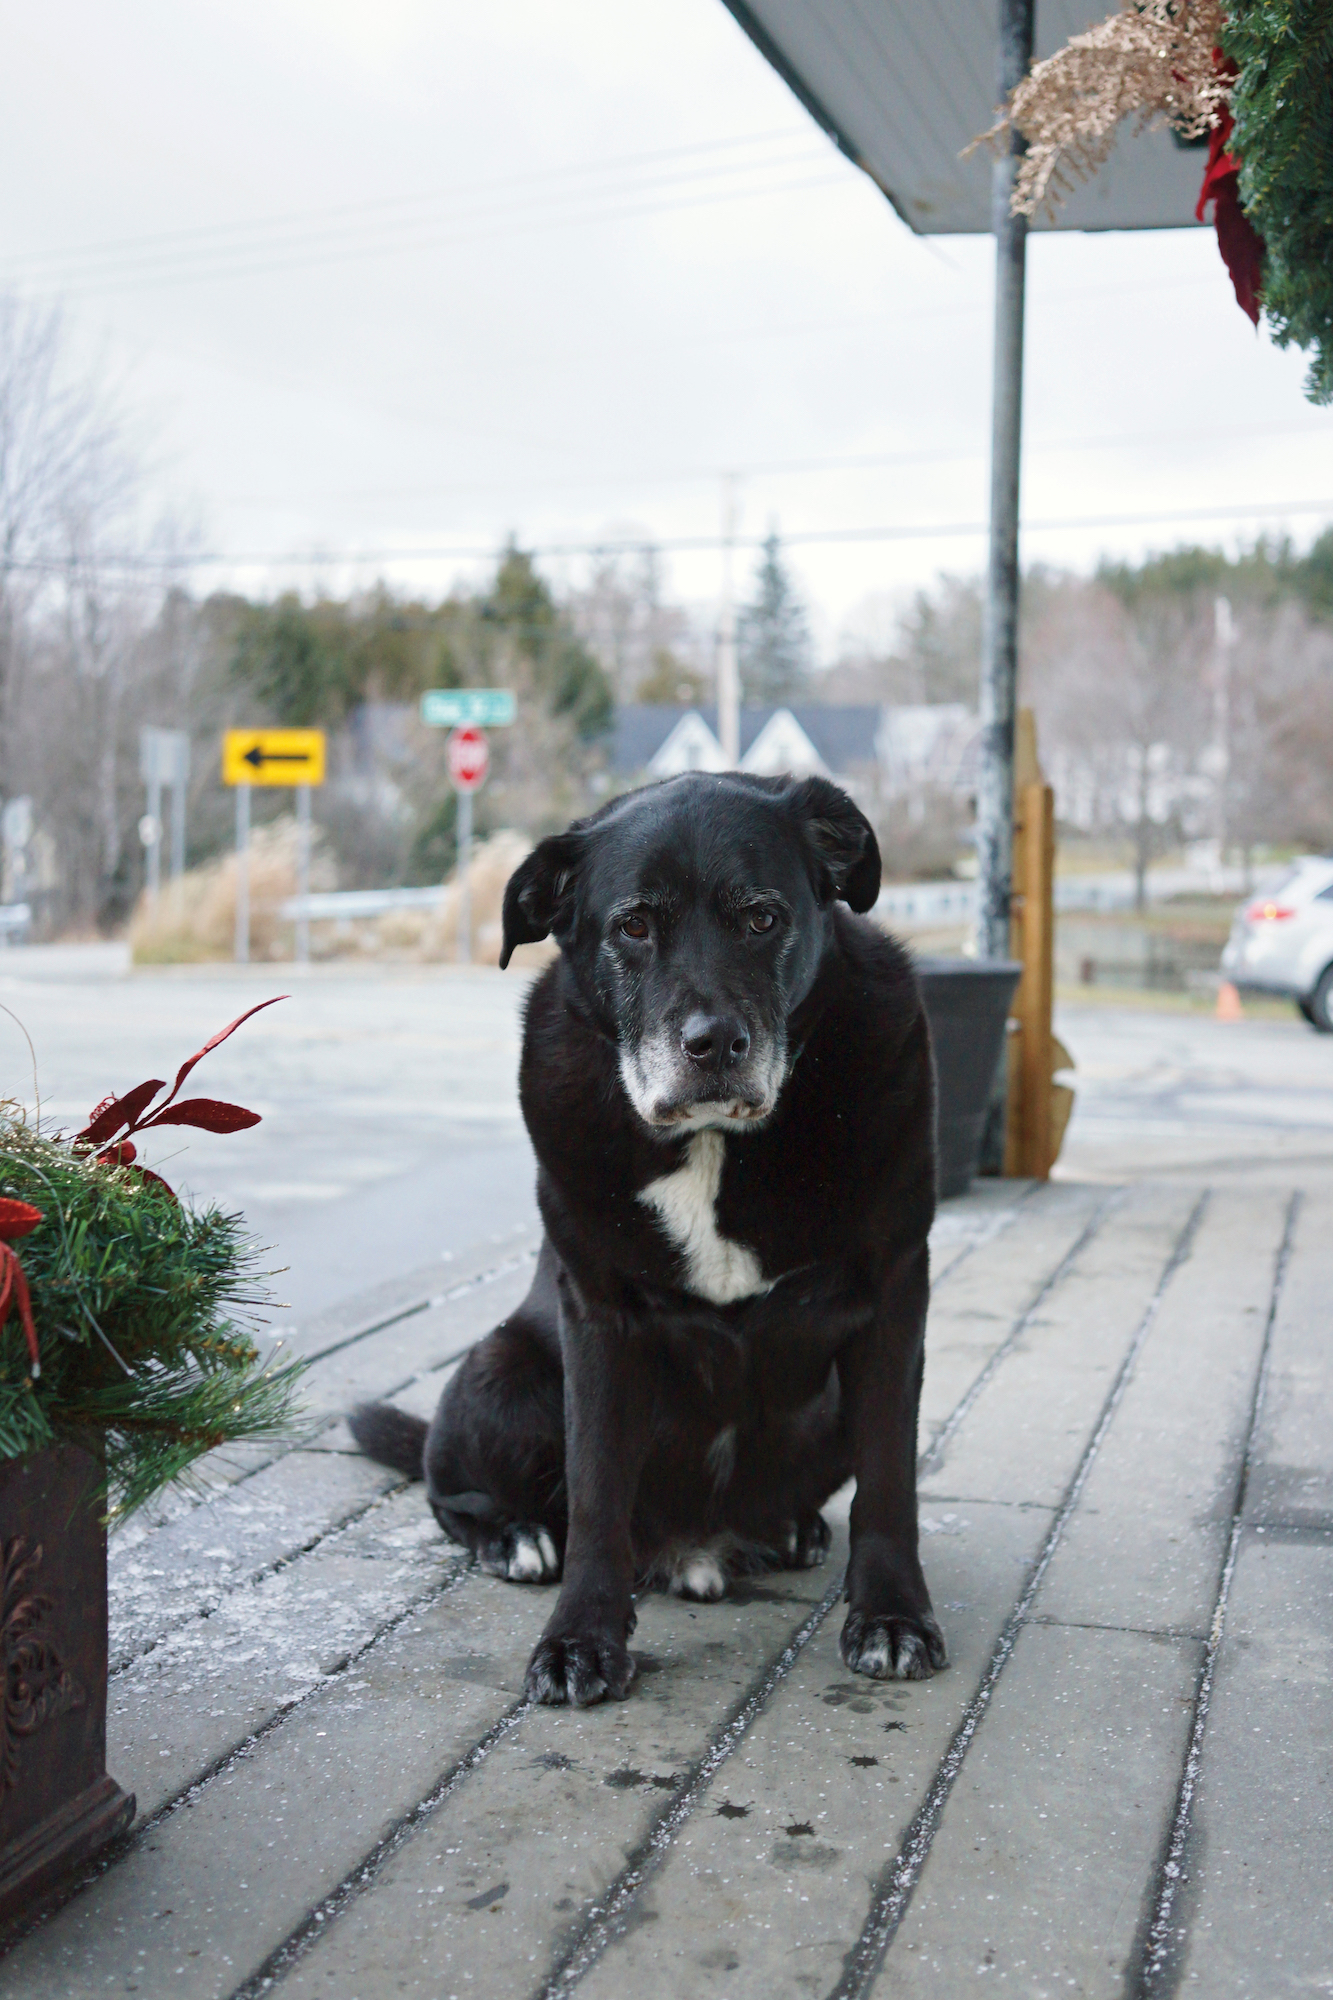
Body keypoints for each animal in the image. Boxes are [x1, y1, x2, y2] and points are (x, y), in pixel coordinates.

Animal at [348, 772, 940, 1712]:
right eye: (632, 926)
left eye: (761, 917)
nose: (714, 1045)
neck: (714, 1144)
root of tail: (694, 1543)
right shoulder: (600, 1315)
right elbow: (596, 1492)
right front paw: (579, 1640)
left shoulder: (892, 1294)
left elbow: (889, 1481)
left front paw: (890, 1616)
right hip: (500, 1372)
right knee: (454, 1494)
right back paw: (515, 1537)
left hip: (823, 1408)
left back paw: (792, 1528)